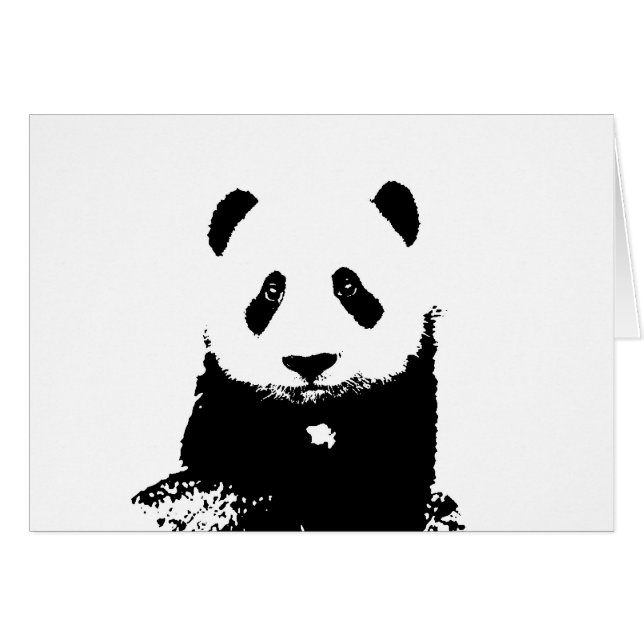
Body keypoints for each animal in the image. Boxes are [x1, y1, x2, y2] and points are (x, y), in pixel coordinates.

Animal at [132, 180, 463, 531]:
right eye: (272, 290)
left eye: (348, 286)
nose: (310, 361)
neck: (315, 414)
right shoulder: (230, 410)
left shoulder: (398, 401)